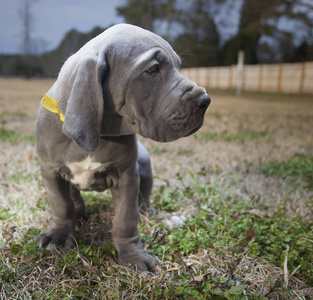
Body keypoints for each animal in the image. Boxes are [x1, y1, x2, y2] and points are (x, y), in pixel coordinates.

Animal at [35, 23, 210, 272]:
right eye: (153, 69)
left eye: (178, 65)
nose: (205, 101)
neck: (101, 131)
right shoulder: (49, 169)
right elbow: (61, 204)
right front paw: (58, 236)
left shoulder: (127, 175)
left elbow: (125, 219)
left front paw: (134, 256)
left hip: (144, 164)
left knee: (143, 204)